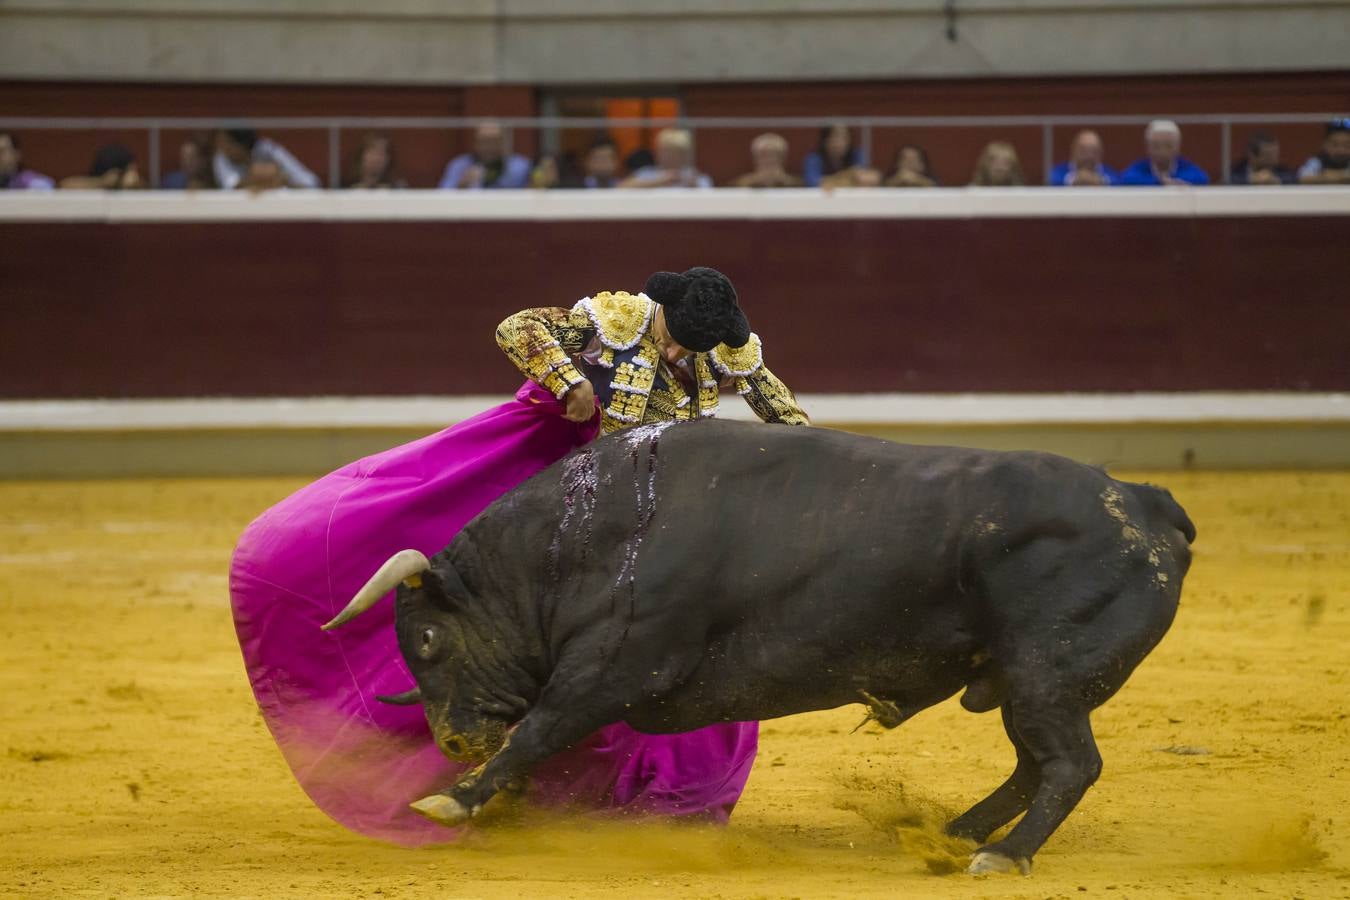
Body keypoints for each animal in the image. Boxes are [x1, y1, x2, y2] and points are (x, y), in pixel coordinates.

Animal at [324, 418, 1193, 874]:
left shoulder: (616, 666)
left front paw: (455, 797)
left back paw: (1003, 856)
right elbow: (538, 736)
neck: (577, 540)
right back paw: (956, 834)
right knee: (1033, 764)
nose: (452, 740)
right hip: (1025, 681)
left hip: (1047, 674)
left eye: (427, 639)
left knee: (1069, 765)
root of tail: (1144, 503)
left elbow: (539, 728)